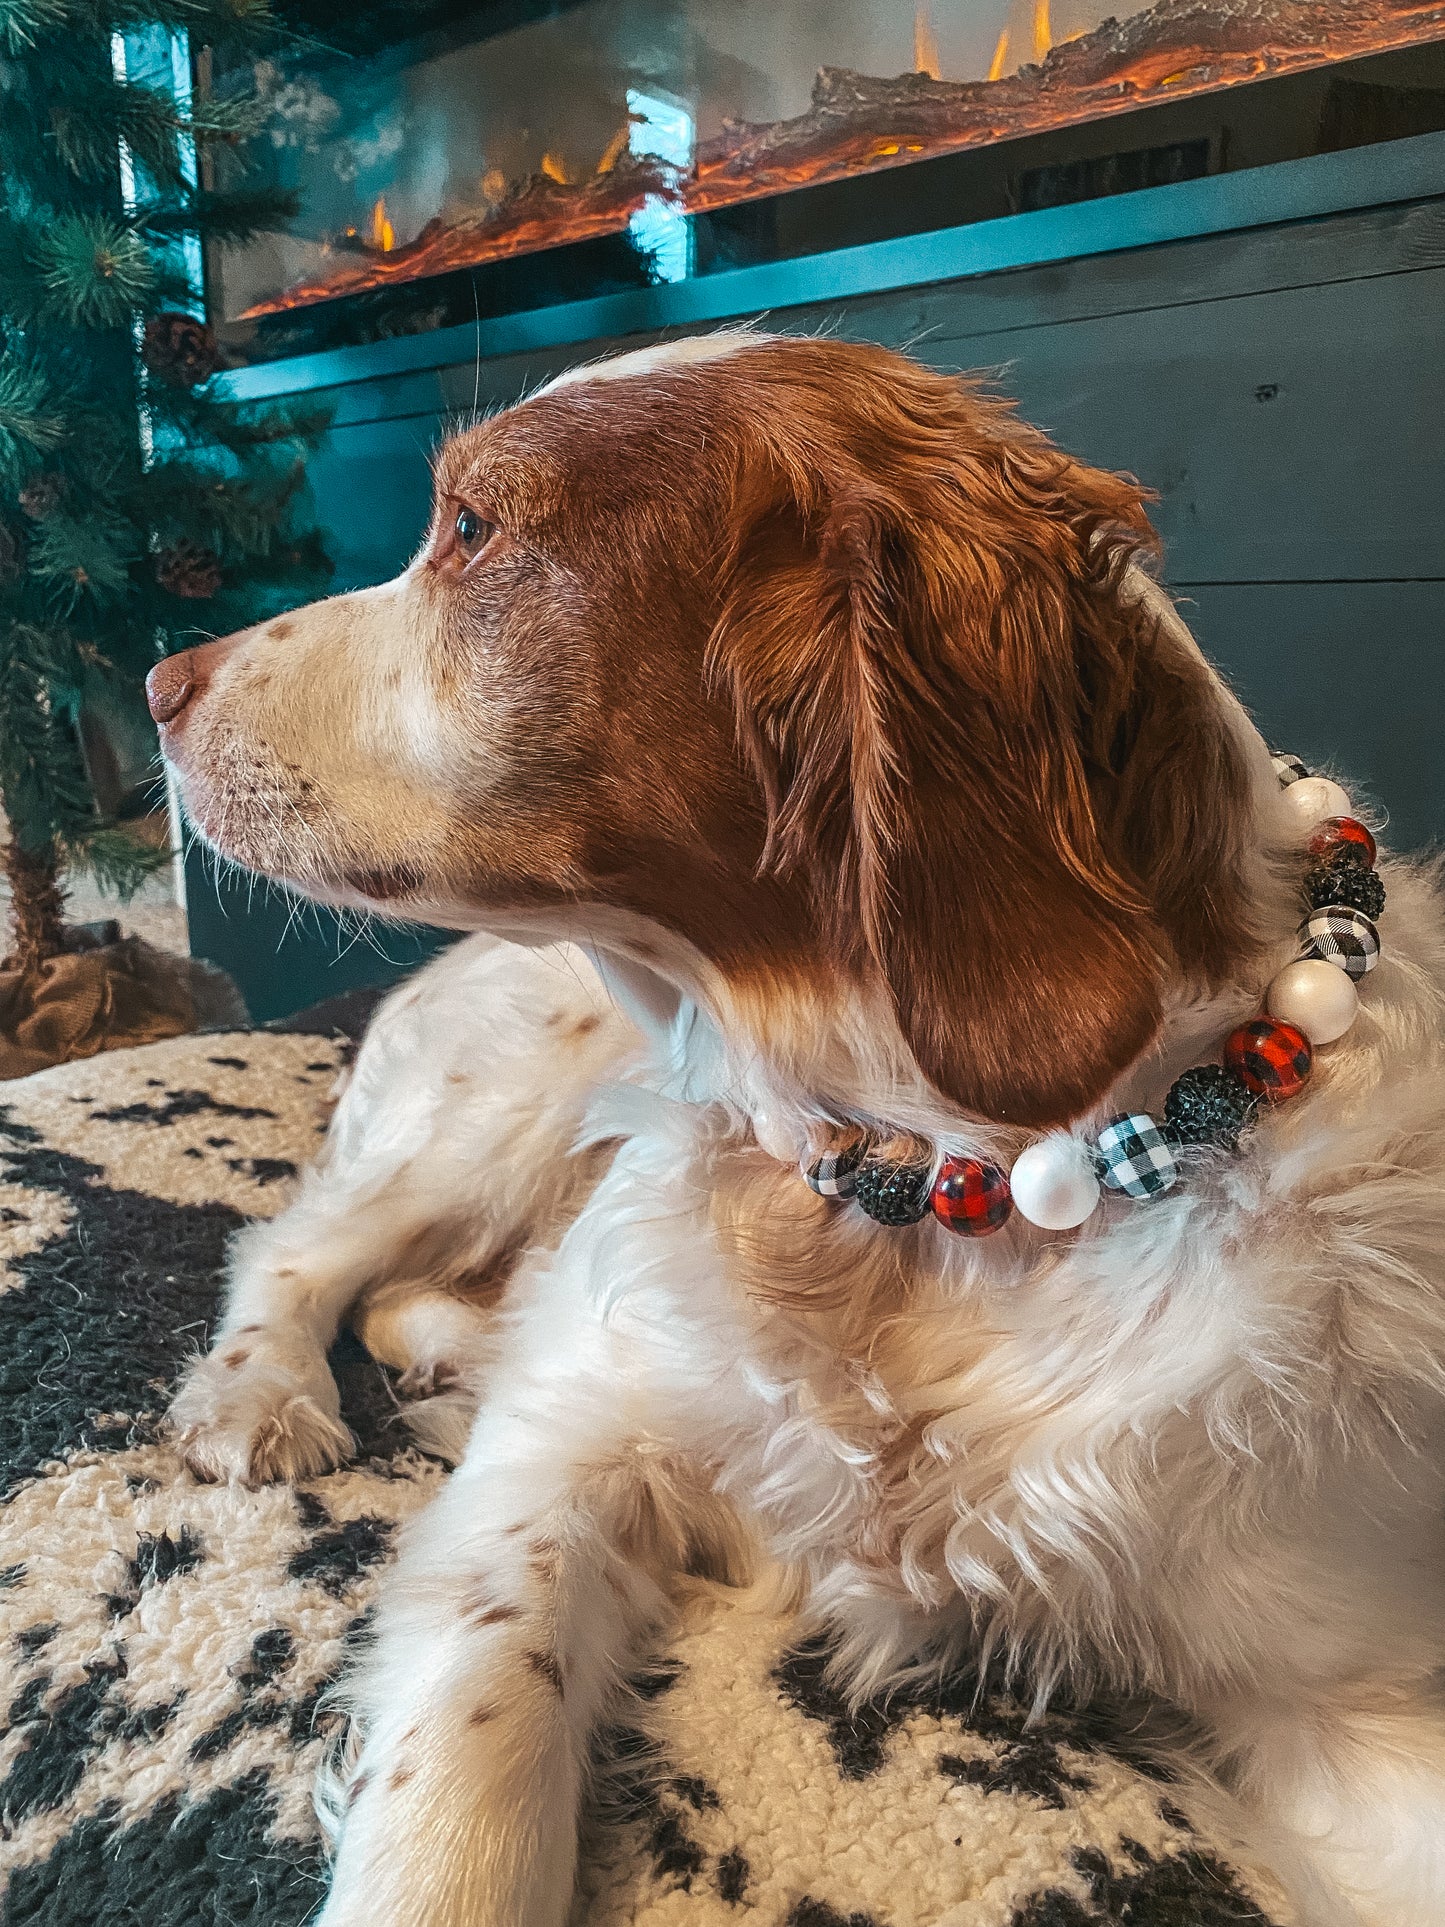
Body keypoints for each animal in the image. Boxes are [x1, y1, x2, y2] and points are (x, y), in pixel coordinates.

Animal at [156, 339, 1445, 1919]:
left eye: (473, 528)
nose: (155, 681)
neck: (937, 1197)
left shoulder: (1355, 1691)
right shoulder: (548, 1470)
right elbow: (470, 1750)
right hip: (495, 1109)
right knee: (301, 1247)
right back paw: (258, 1396)